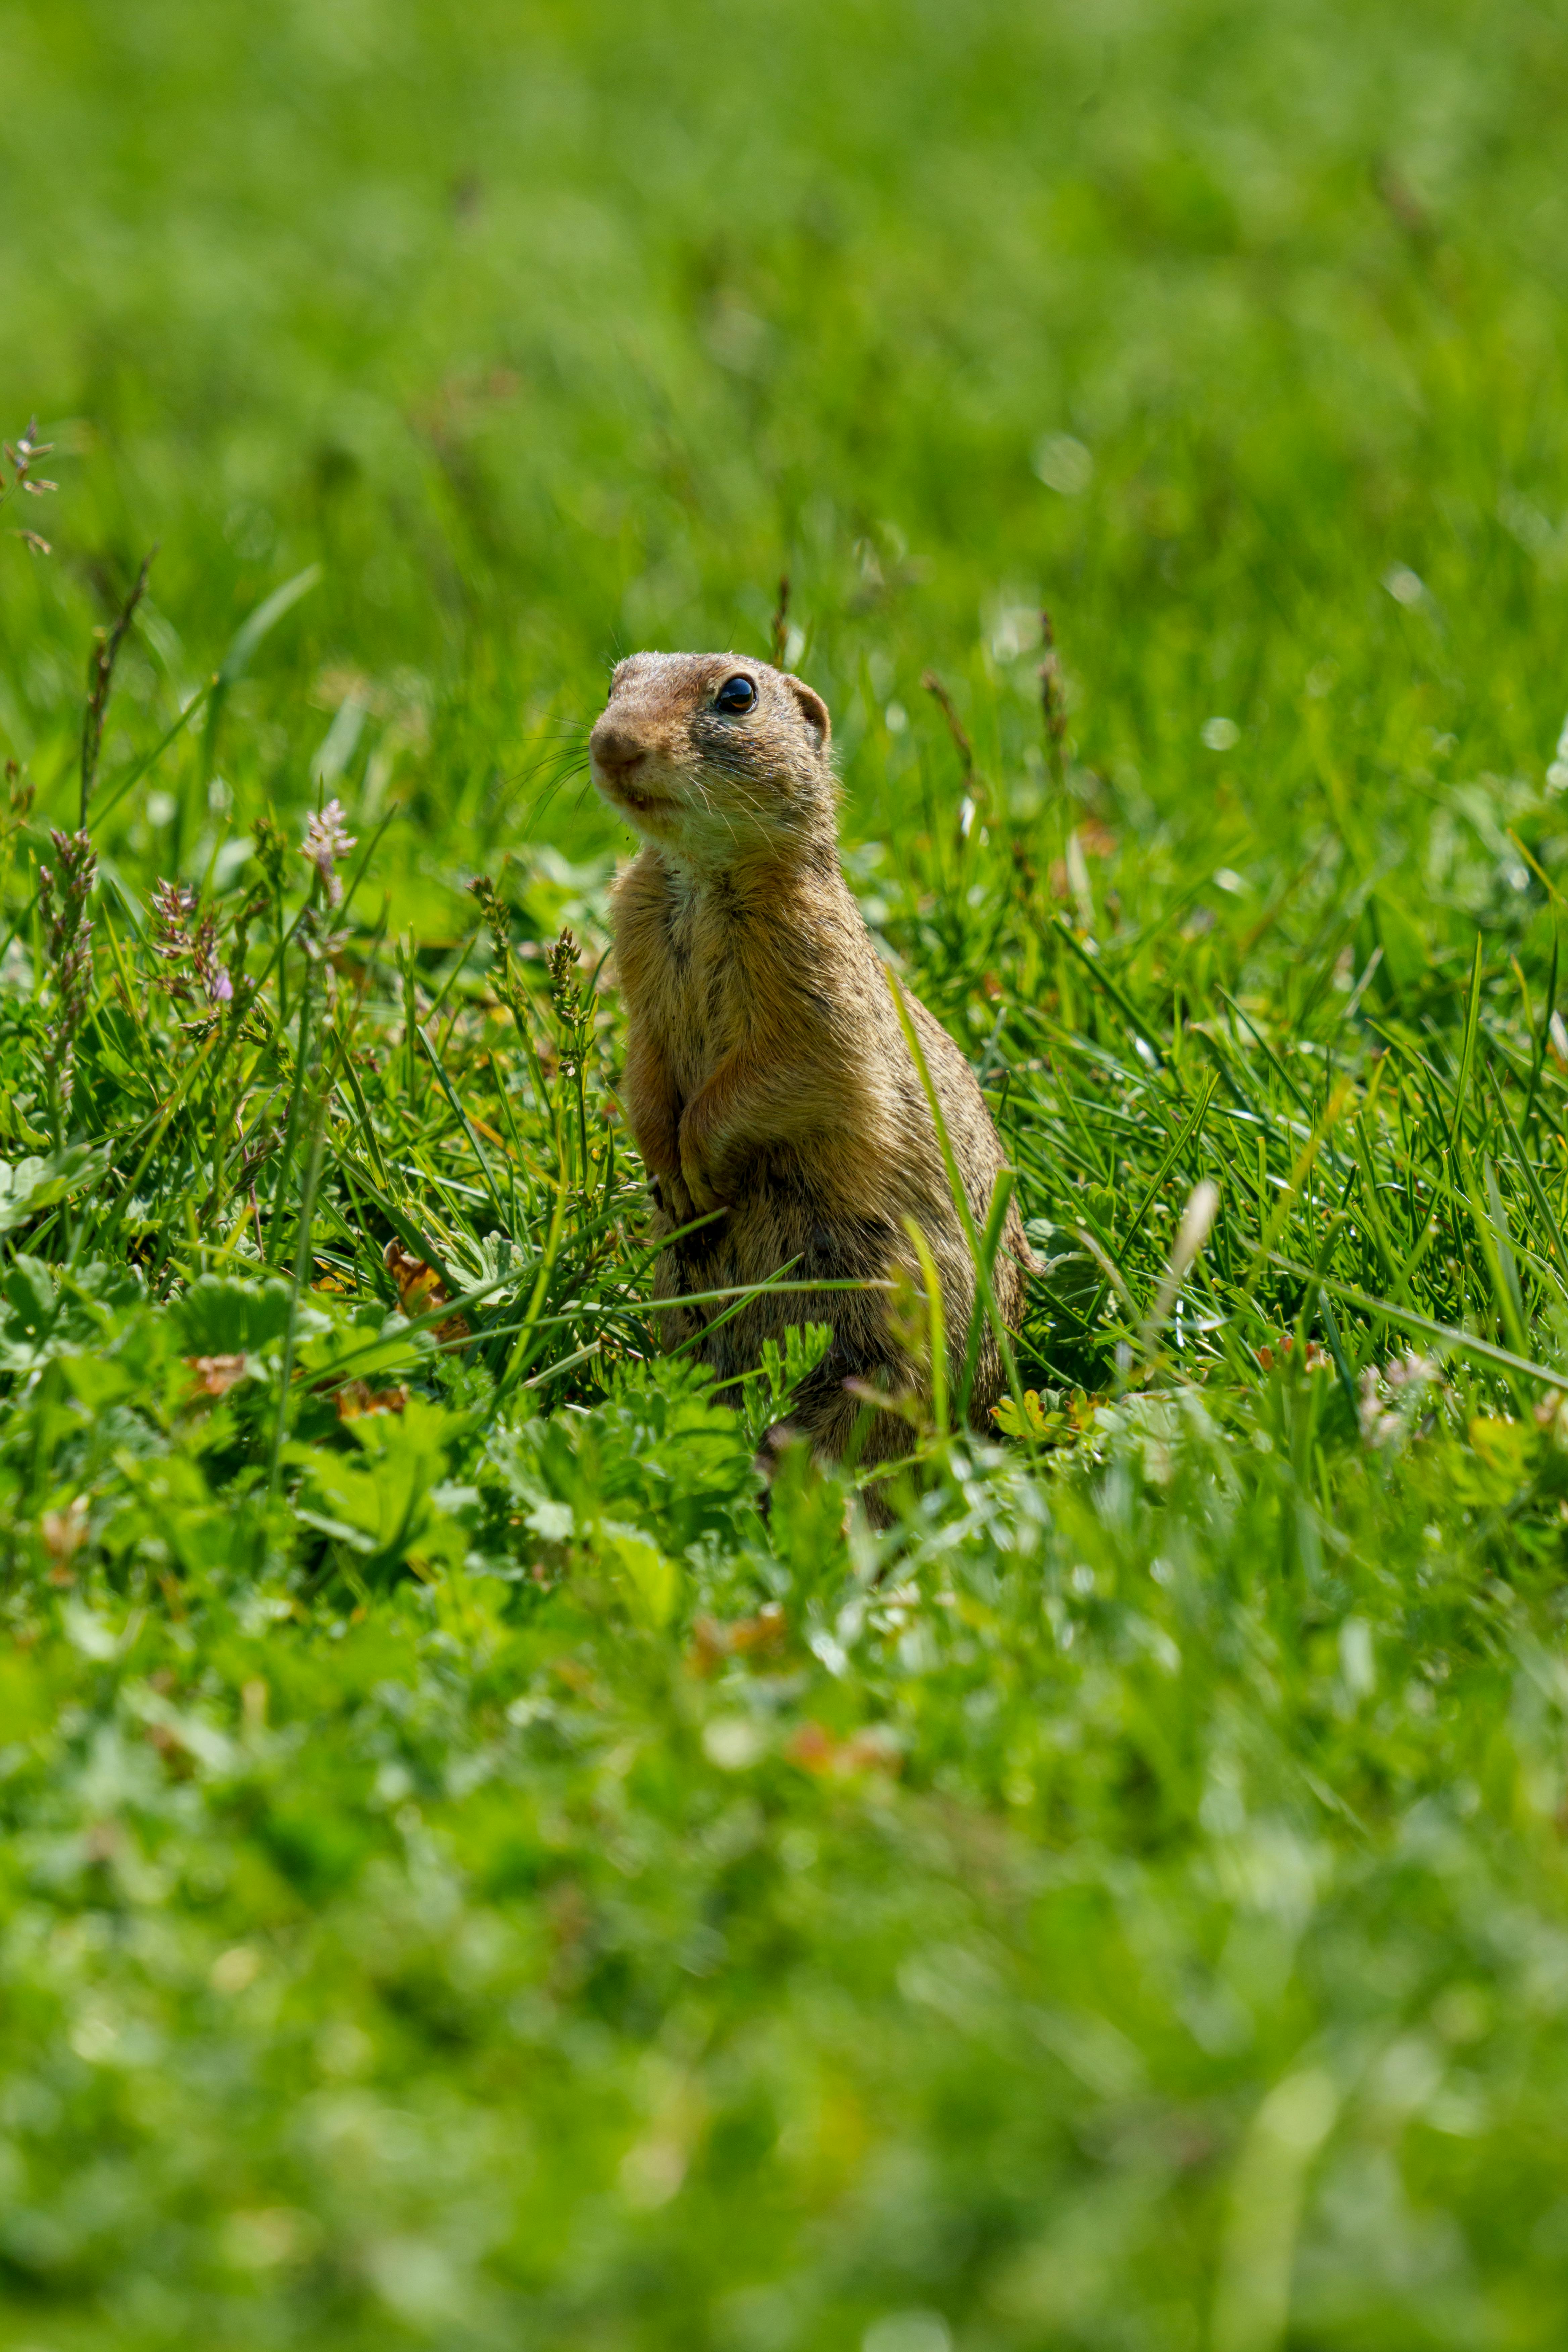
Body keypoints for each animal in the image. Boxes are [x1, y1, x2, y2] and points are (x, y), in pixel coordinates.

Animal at [592, 654, 1029, 1496]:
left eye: (737, 695)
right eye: (614, 681)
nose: (609, 743)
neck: (697, 878)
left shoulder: (816, 985)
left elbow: (784, 1076)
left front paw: (696, 1165)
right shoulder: (640, 980)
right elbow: (646, 1076)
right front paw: (667, 1171)